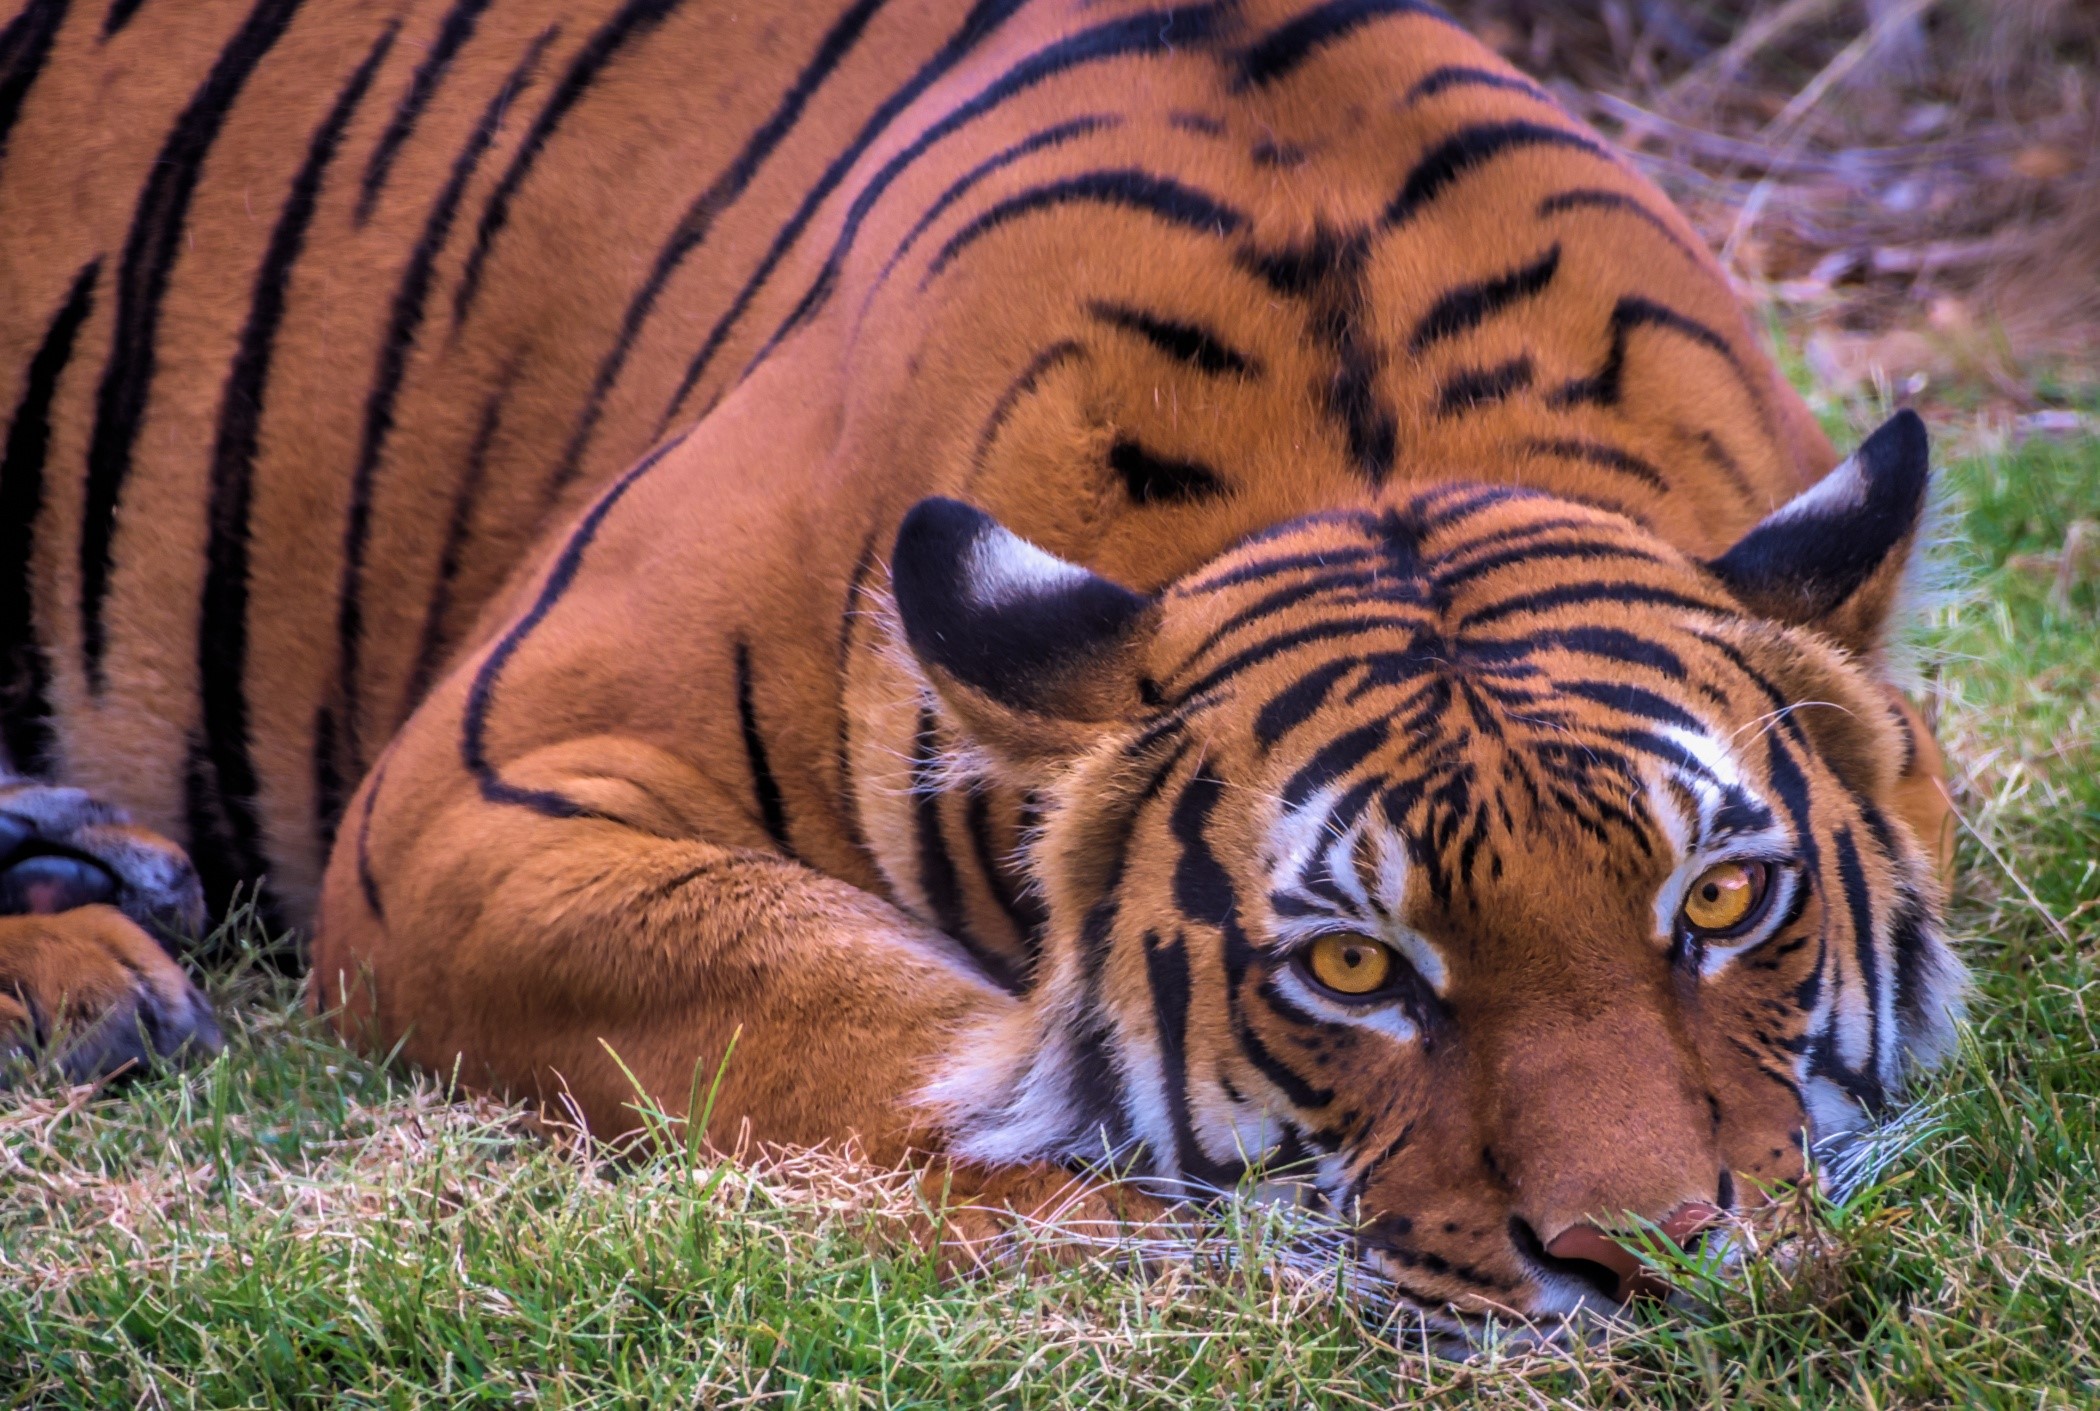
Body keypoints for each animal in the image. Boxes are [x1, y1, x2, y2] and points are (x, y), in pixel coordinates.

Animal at [0, 0, 1964, 1327]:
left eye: (1724, 902)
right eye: (1352, 966)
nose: (1655, 1270)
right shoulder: (478, 793)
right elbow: (848, 1012)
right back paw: (91, 971)